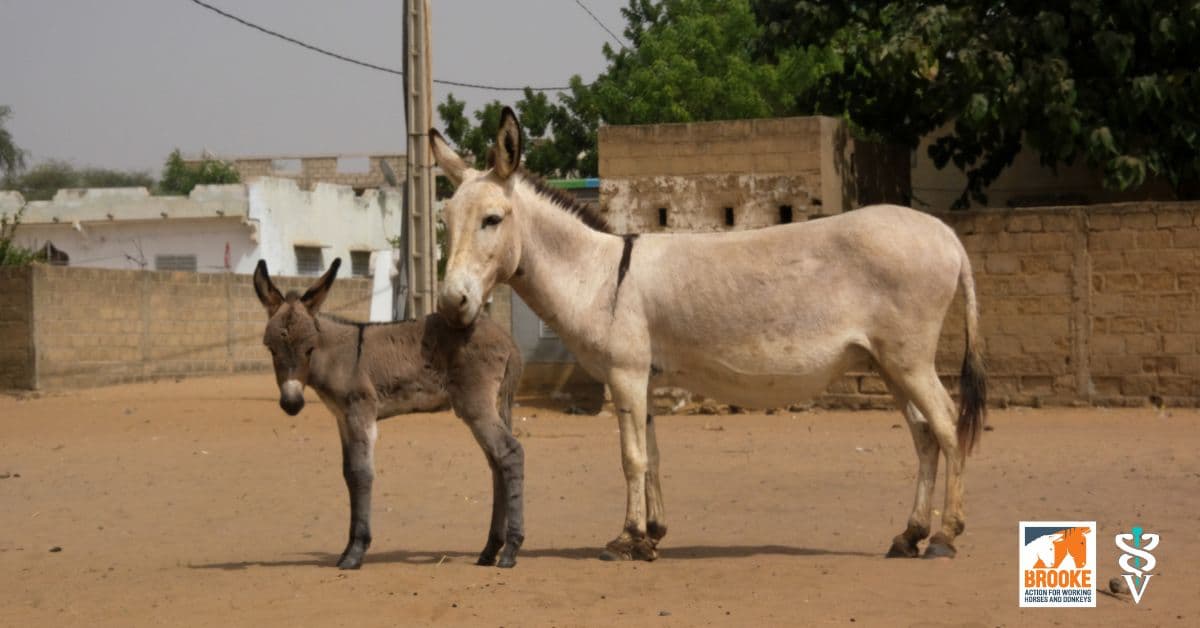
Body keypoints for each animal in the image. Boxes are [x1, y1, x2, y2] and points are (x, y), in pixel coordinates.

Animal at [253, 258, 525, 568]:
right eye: (271, 349)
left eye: (310, 348)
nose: (291, 404)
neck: (338, 356)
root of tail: (507, 338)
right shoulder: (342, 419)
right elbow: (348, 474)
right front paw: (347, 549)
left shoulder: (361, 413)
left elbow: (361, 473)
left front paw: (356, 552)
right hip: (483, 406)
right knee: (497, 462)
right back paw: (490, 549)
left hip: (476, 404)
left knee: (510, 452)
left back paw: (510, 550)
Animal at [429, 108, 987, 561]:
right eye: (446, 220)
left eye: (492, 219)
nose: (451, 303)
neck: (599, 274)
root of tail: (948, 236)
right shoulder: (643, 378)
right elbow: (652, 456)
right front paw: (652, 534)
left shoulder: (624, 373)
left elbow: (631, 458)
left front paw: (625, 540)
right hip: (889, 363)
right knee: (924, 435)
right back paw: (909, 535)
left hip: (909, 359)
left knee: (947, 423)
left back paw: (945, 536)